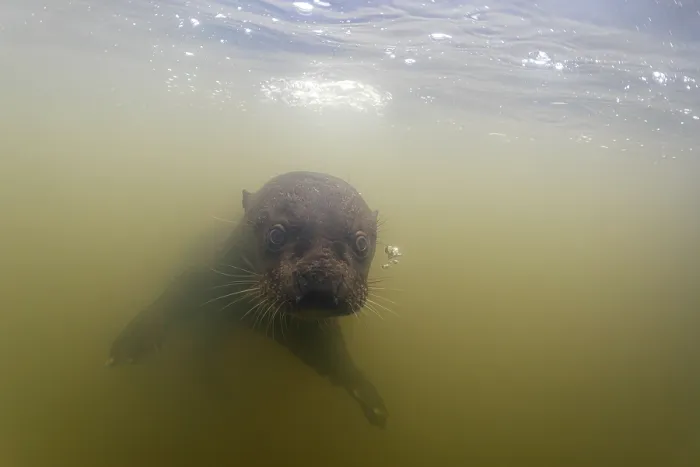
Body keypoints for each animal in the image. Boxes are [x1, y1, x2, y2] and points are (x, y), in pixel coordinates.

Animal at [106, 171, 389, 427]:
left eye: (362, 242)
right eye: (276, 234)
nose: (322, 276)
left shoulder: (308, 330)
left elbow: (332, 357)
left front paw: (371, 399)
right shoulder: (209, 276)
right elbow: (177, 294)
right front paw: (133, 339)